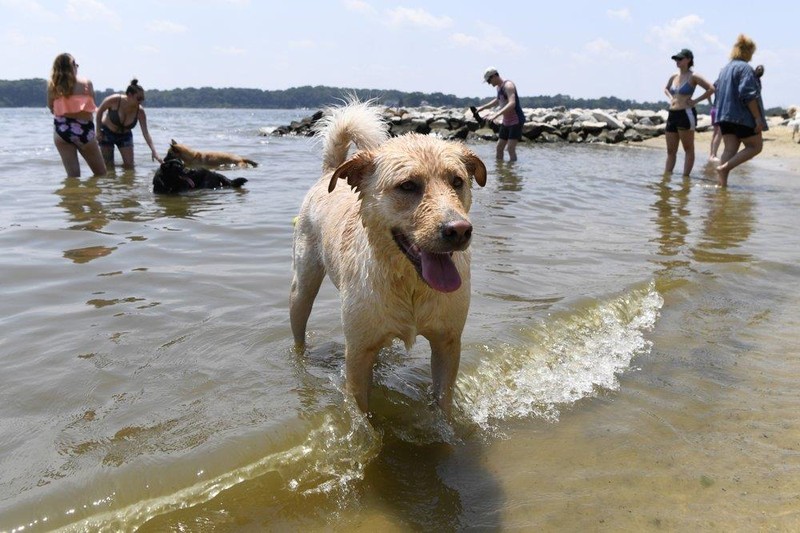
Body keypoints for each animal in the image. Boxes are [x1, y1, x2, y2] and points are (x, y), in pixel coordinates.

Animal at [290, 102, 484, 414]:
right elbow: (361, 413)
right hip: (302, 288)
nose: (459, 230)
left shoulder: (447, 343)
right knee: (299, 328)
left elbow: (443, 401)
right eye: (407, 186)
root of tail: (329, 173)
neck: (411, 285)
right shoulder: (357, 353)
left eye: (457, 181)